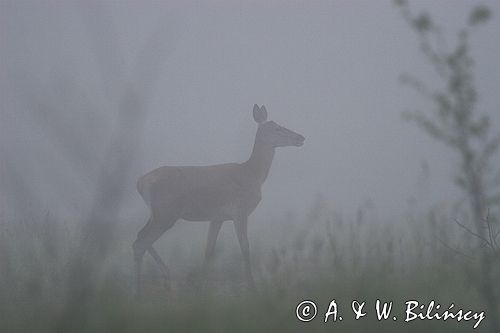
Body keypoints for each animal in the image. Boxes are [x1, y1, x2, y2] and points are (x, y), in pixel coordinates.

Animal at [134, 104, 304, 294]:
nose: (300, 137)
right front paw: (252, 287)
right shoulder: (239, 211)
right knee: (140, 242)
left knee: (140, 237)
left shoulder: (218, 217)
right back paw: (140, 289)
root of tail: (140, 183)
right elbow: (245, 248)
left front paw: (200, 287)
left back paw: (162, 277)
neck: (253, 175)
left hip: (157, 213)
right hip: (166, 213)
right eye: (276, 128)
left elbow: (209, 251)